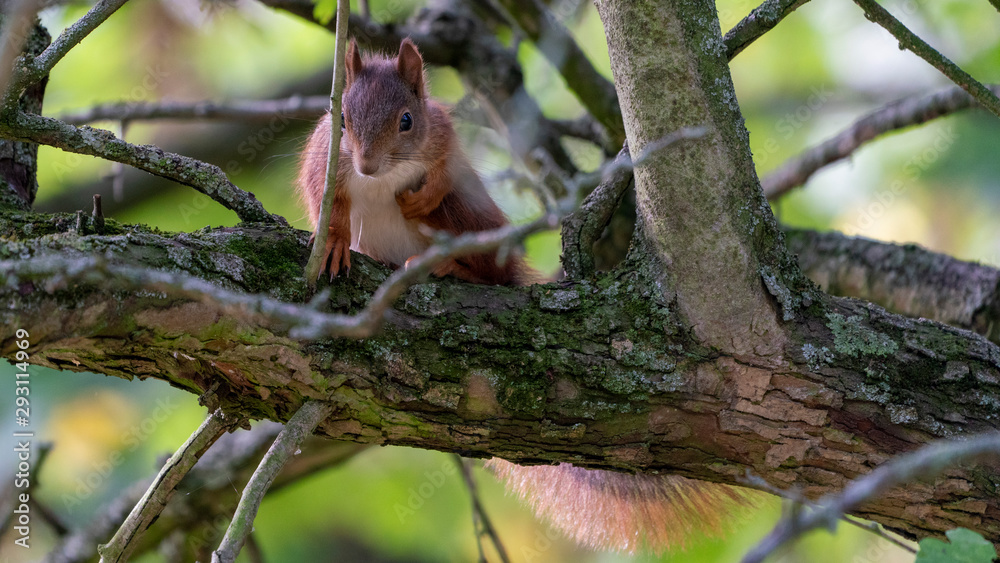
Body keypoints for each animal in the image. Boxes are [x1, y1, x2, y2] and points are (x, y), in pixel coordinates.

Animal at [296, 38, 744, 556]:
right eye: (343, 120)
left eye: (407, 120)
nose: (367, 165)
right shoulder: (324, 159)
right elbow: (323, 196)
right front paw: (332, 240)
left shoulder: (442, 137)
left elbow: (442, 169)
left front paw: (421, 196)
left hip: (469, 214)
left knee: (489, 270)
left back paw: (451, 265)